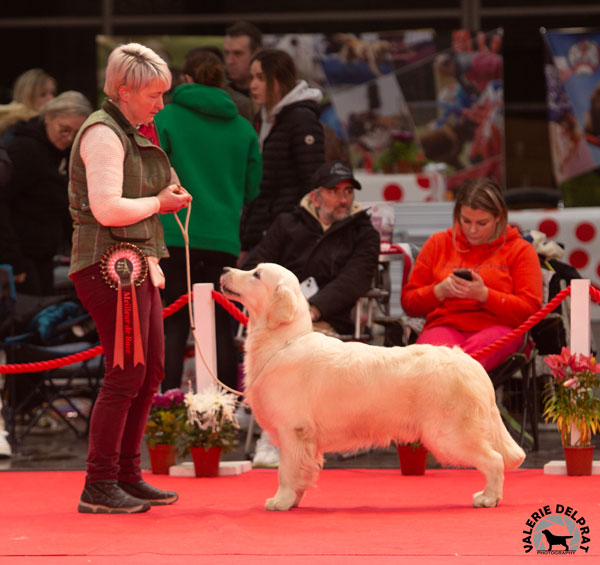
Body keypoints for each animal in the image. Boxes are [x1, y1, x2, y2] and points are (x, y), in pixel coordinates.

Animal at [220, 262, 524, 508]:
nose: (224, 269)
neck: (283, 342)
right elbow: (301, 473)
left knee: (494, 459)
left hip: (450, 435)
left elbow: (286, 472)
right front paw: (293, 500)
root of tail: (470, 362)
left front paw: (280, 502)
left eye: (256, 274)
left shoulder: (293, 431)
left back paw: (489, 498)